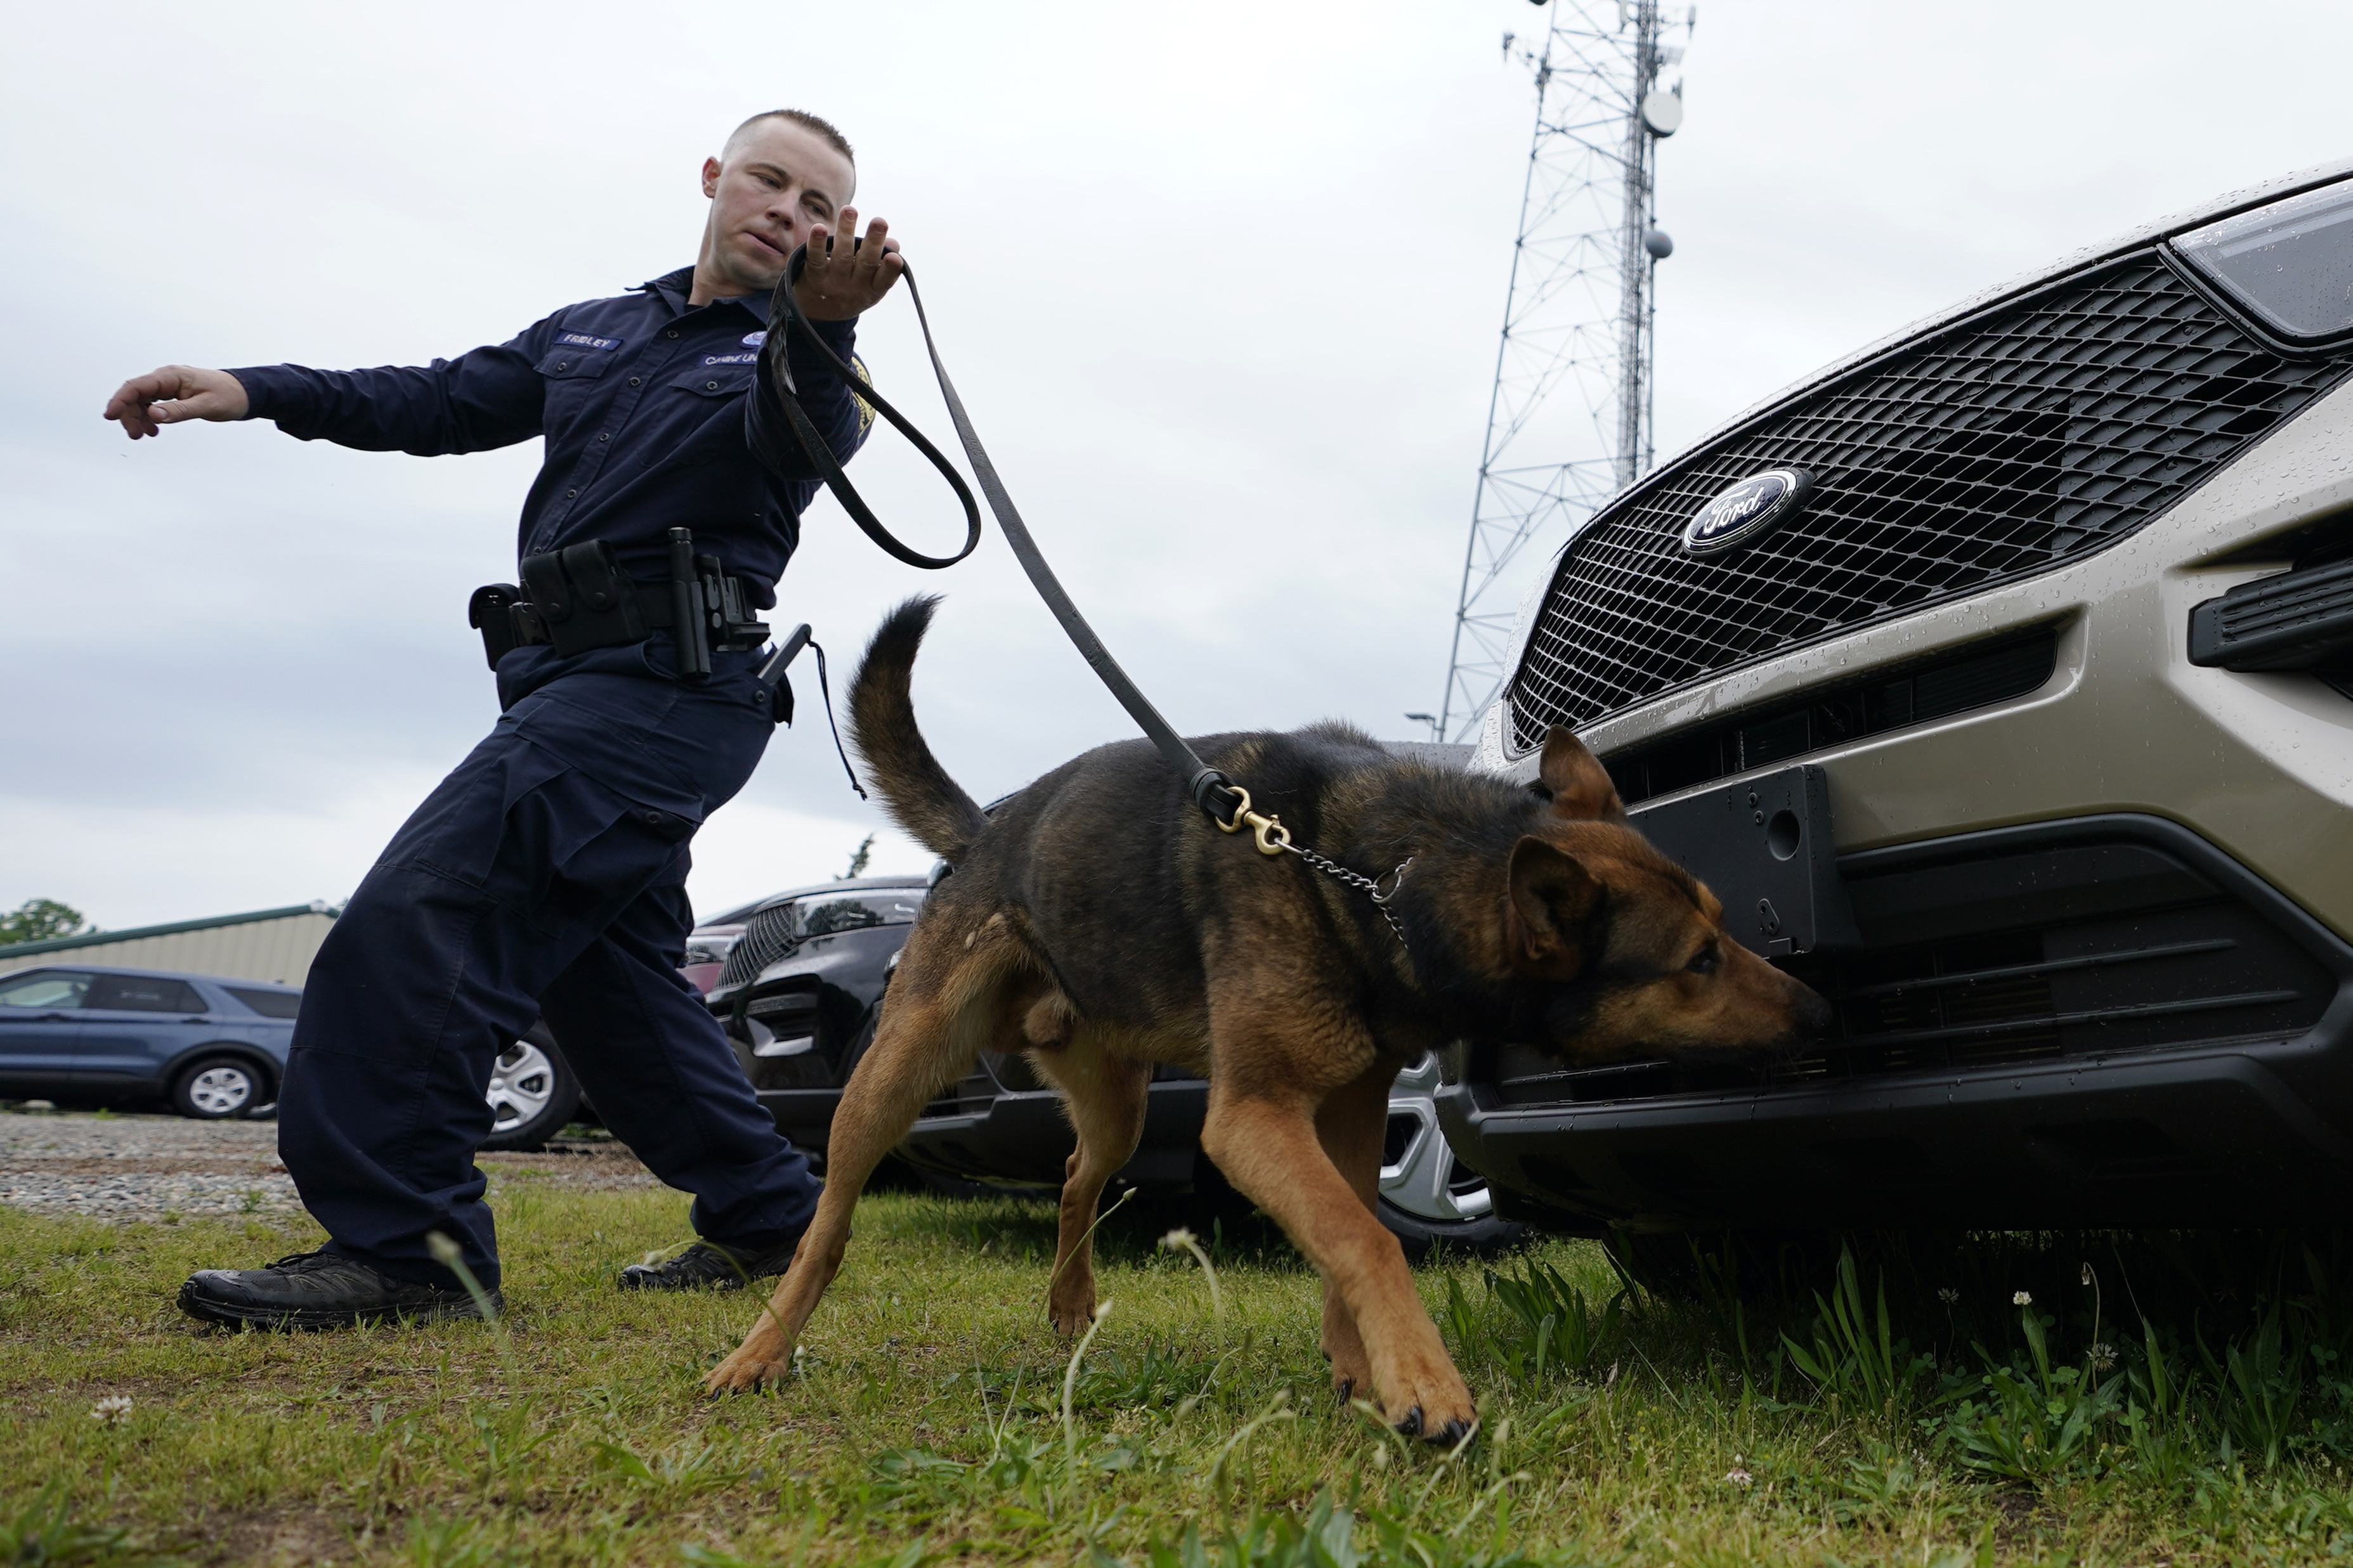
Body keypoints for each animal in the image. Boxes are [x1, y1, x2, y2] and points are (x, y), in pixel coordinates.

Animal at [706, 597, 1825, 1439]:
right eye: (1697, 962)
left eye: (1723, 932)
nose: (1817, 1008)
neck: (1378, 876)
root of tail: (987, 829)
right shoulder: (1252, 1117)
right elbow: (1365, 1239)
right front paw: (1426, 1385)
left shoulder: (1351, 1107)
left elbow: (1347, 1234)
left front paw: (1365, 1373)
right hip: (894, 1074)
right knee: (827, 1225)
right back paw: (760, 1350)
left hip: (1114, 1109)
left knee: (1071, 1179)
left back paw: (1069, 1308)